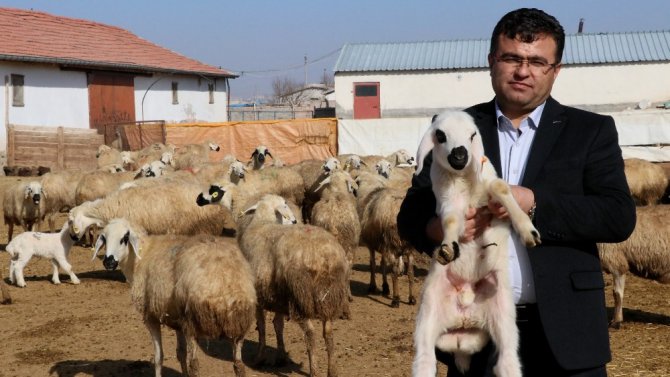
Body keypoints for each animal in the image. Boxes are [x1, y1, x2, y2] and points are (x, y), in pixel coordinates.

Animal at [92, 217, 255, 376]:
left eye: (125, 238)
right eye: (104, 238)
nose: (108, 262)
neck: (140, 256)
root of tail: (225, 282)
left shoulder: (151, 316)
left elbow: (159, 358)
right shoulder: (177, 320)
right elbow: (180, 353)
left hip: (193, 322)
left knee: (194, 366)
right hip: (238, 325)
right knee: (239, 366)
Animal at [197, 192, 350, 374]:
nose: (294, 220)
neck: (262, 221)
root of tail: (323, 255)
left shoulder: (259, 298)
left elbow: (262, 327)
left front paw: (259, 358)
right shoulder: (278, 298)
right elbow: (278, 325)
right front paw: (281, 356)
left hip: (300, 295)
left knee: (311, 333)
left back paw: (314, 370)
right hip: (327, 296)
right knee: (328, 333)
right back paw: (331, 370)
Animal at [412, 110, 544, 376]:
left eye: (472, 135)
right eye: (440, 135)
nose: (460, 155)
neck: (464, 180)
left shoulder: (489, 187)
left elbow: (501, 187)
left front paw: (528, 230)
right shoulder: (448, 202)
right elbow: (451, 220)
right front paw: (447, 248)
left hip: (503, 317)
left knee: (507, 360)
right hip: (427, 315)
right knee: (425, 360)